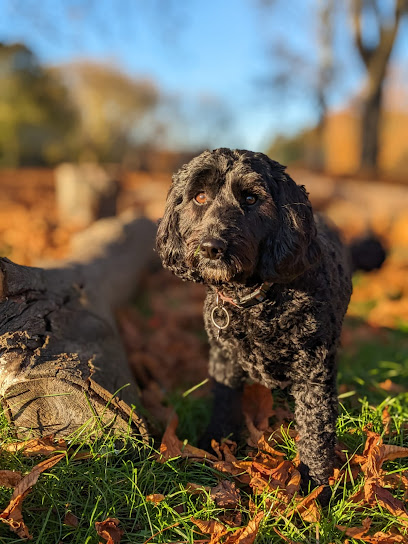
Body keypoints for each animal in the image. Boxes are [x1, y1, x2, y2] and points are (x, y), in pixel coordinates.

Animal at [155, 149, 382, 502]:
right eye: (200, 196)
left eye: (251, 198)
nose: (211, 247)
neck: (255, 300)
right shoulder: (223, 360)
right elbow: (223, 404)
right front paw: (213, 445)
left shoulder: (313, 371)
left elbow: (316, 431)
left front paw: (315, 489)